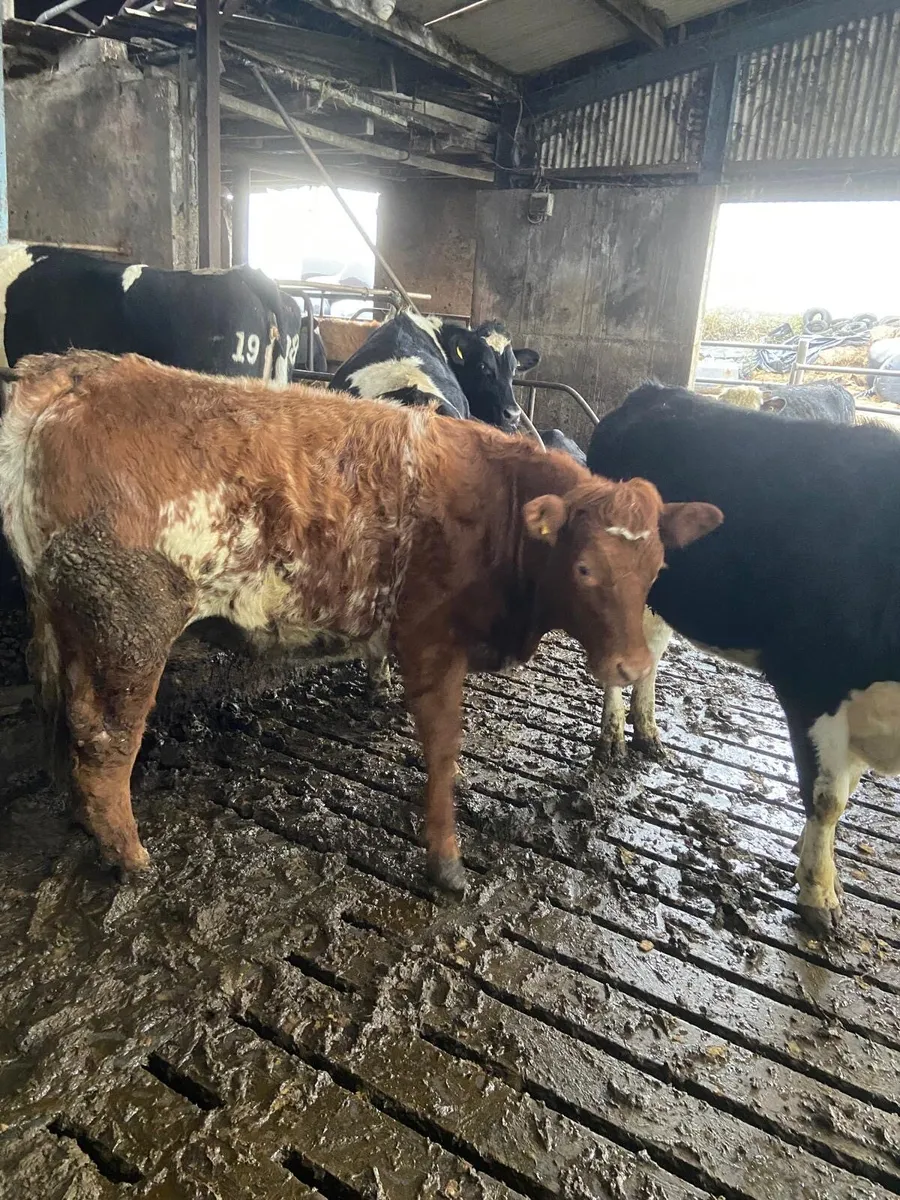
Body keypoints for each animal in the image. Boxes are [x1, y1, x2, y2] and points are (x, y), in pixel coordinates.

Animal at [0, 351, 720, 894]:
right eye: (584, 569)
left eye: (657, 567)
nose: (633, 665)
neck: (497, 505)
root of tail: (77, 372)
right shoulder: (430, 639)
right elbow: (443, 748)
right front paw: (445, 860)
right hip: (129, 629)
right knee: (104, 743)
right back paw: (131, 857)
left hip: (66, 622)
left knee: (65, 720)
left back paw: (82, 822)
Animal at [587, 380, 900, 934]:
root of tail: (653, 391)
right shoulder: (809, 682)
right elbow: (827, 799)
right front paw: (819, 893)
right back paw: (612, 737)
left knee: (649, 653)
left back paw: (647, 731)